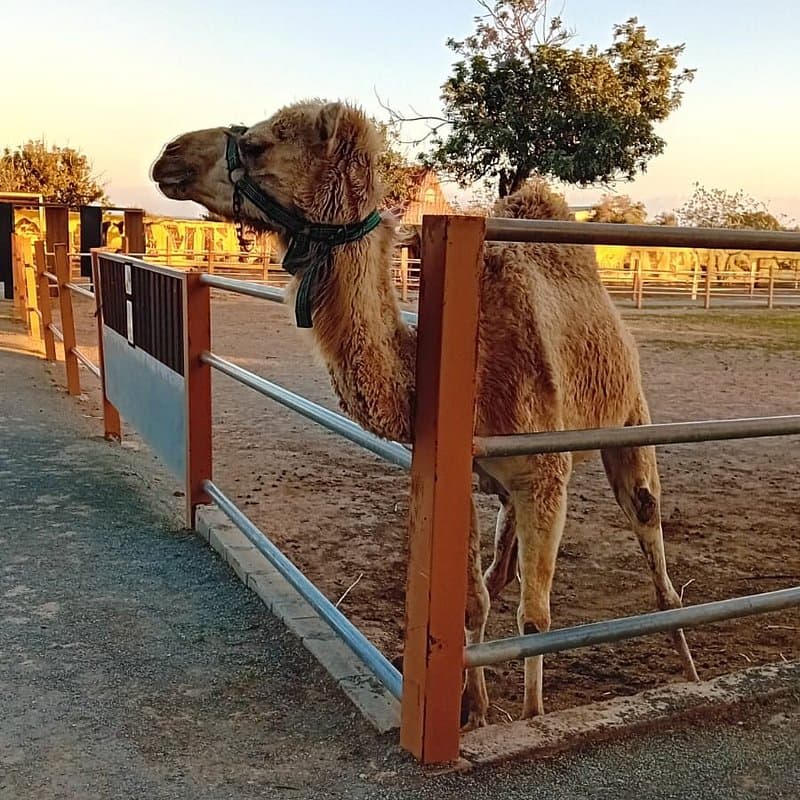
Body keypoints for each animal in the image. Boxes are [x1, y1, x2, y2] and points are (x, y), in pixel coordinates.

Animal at [152, 99, 699, 728]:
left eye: (260, 144)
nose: (168, 155)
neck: (466, 360)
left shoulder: (544, 478)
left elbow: (535, 618)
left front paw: (531, 716)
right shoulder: (471, 474)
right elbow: (473, 599)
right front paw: (474, 711)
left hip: (629, 424)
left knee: (654, 552)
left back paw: (689, 670)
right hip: (515, 487)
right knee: (500, 573)